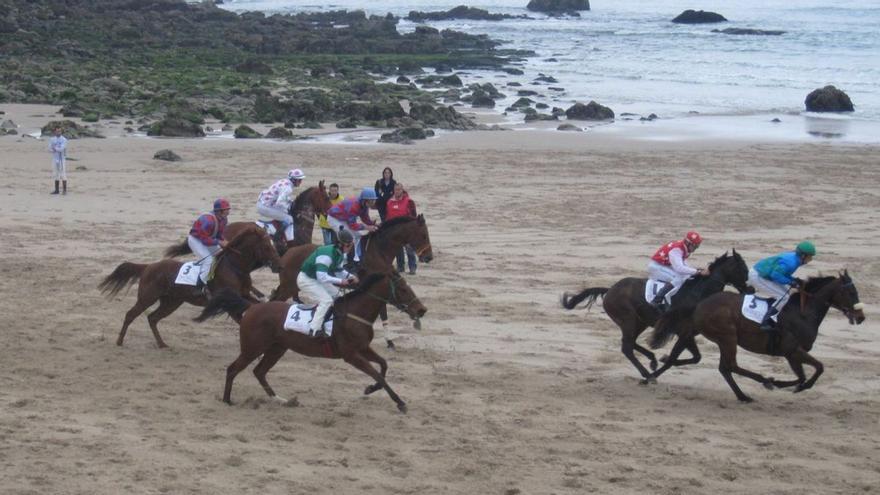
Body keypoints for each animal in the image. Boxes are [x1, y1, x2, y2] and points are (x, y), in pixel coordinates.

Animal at [99, 225, 280, 348]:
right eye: (266, 246)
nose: (279, 265)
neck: (234, 267)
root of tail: (149, 266)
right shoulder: (227, 301)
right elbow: (243, 315)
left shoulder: (243, 295)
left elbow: (254, 304)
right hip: (147, 297)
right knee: (131, 314)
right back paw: (119, 341)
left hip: (171, 302)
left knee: (153, 318)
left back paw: (162, 344)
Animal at [194, 272, 428, 414]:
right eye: (404, 289)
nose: (422, 310)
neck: (355, 313)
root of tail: (251, 307)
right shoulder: (351, 355)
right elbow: (377, 373)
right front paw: (399, 402)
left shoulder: (363, 348)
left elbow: (384, 366)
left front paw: (371, 389)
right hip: (252, 348)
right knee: (233, 369)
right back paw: (227, 400)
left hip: (277, 348)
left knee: (259, 371)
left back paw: (281, 400)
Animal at [564, 252, 748, 380]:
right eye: (743, 269)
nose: (750, 289)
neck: (699, 293)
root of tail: (609, 290)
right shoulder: (683, 332)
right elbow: (679, 358)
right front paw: (661, 365)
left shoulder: (688, 333)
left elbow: (695, 357)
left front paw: (662, 359)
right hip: (628, 320)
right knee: (627, 347)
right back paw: (647, 373)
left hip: (640, 322)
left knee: (631, 343)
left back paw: (651, 360)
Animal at [648, 272, 868, 404]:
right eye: (851, 291)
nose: (861, 317)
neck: (803, 313)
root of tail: (700, 303)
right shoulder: (792, 350)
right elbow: (816, 369)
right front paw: (784, 384)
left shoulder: (791, 353)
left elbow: (805, 374)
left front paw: (789, 385)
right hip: (728, 337)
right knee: (730, 366)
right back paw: (758, 384)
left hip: (716, 336)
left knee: (721, 366)